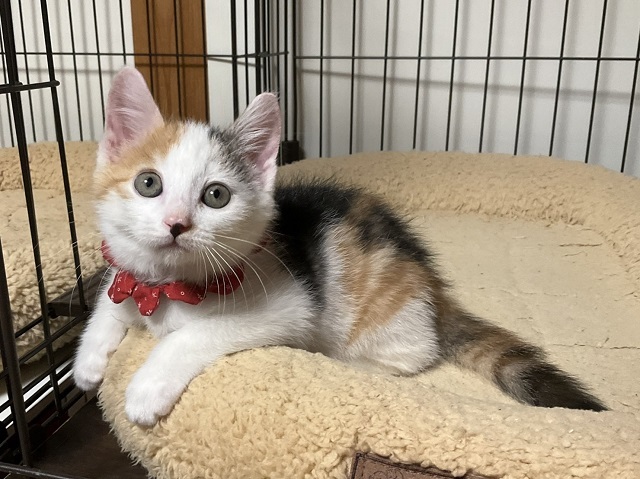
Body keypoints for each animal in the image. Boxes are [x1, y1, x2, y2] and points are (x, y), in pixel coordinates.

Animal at [73, 67, 606, 427]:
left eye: (216, 196)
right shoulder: (128, 277)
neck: (167, 288)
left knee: (413, 355)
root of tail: (429, 282)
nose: (176, 224)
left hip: (381, 322)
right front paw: (87, 362)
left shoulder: (287, 306)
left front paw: (147, 386)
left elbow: (196, 334)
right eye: (148, 184)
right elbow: (109, 300)